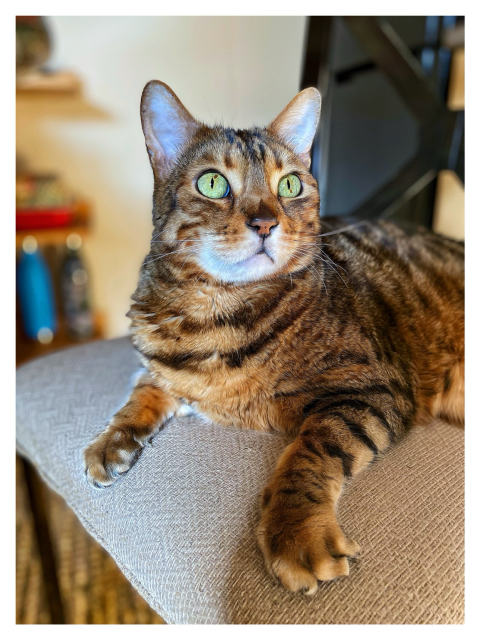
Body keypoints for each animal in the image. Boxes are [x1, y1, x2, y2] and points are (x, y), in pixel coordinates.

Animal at [84, 80, 464, 596]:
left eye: (290, 185)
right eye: (212, 183)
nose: (265, 223)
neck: (215, 317)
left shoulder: (371, 390)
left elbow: (310, 453)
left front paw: (295, 531)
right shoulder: (162, 364)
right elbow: (145, 387)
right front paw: (113, 438)